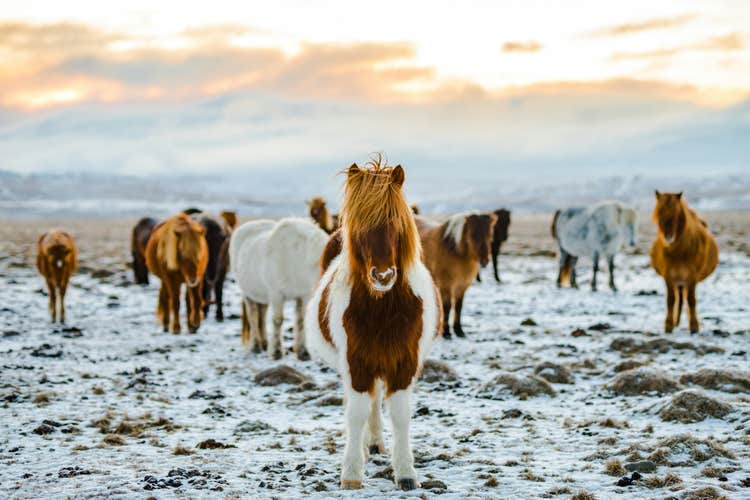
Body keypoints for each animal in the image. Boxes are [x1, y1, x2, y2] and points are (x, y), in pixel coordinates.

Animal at [231, 217, 327, 359]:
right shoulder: (276, 294)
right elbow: (278, 320)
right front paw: (276, 352)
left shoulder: (303, 295)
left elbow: (301, 320)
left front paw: (303, 352)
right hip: (247, 293)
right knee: (252, 315)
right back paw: (256, 346)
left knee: (262, 313)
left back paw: (264, 343)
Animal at [305, 160, 440, 491]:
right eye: (360, 226)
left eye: (396, 221)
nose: (383, 276)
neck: (382, 309)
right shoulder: (356, 363)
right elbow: (355, 414)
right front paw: (352, 473)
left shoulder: (403, 363)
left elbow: (400, 415)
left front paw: (406, 473)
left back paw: (376, 444)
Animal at [650, 191, 718, 333]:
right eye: (659, 213)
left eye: (677, 214)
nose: (668, 237)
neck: (679, 254)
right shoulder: (669, 276)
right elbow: (670, 300)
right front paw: (668, 326)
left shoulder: (692, 277)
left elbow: (691, 300)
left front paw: (694, 326)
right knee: (679, 298)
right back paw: (676, 322)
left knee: (684, 299)